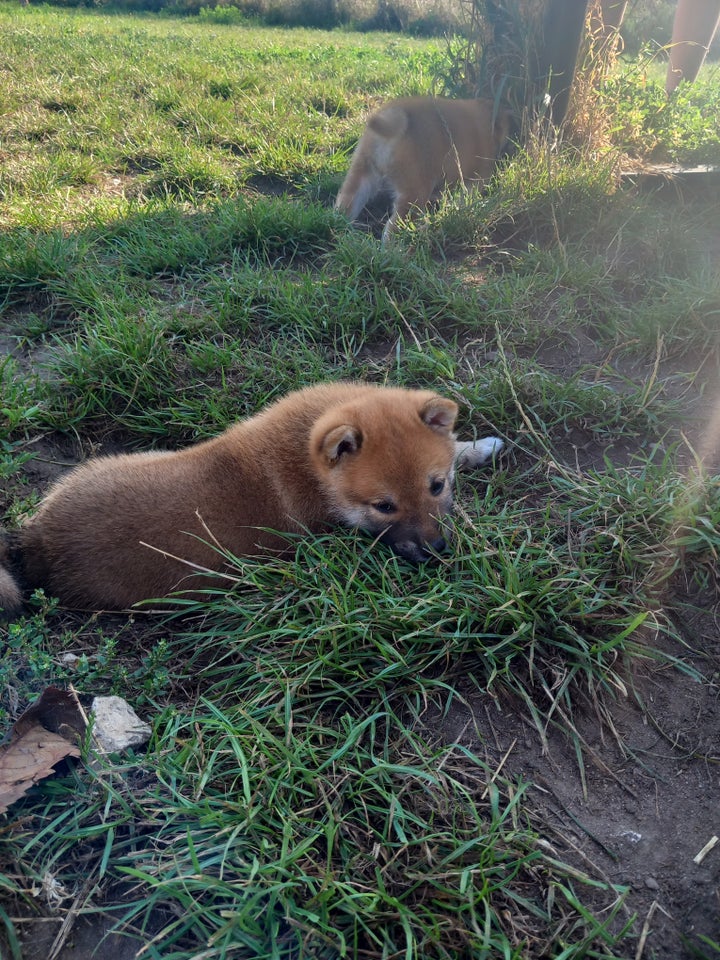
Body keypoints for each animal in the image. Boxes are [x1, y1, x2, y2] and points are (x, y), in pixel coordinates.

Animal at [0, 380, 504, 612]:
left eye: (436, 486)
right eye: (383, 507)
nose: (436, 551)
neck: (306, 462)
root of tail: (37, 540)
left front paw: (476, 447)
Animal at [334, 95, 510, 242]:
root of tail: (393, 117)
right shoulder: (477, 178)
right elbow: (465, 199)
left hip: (361, 175)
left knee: (344, 208)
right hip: (414, 193)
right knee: (391, 228)